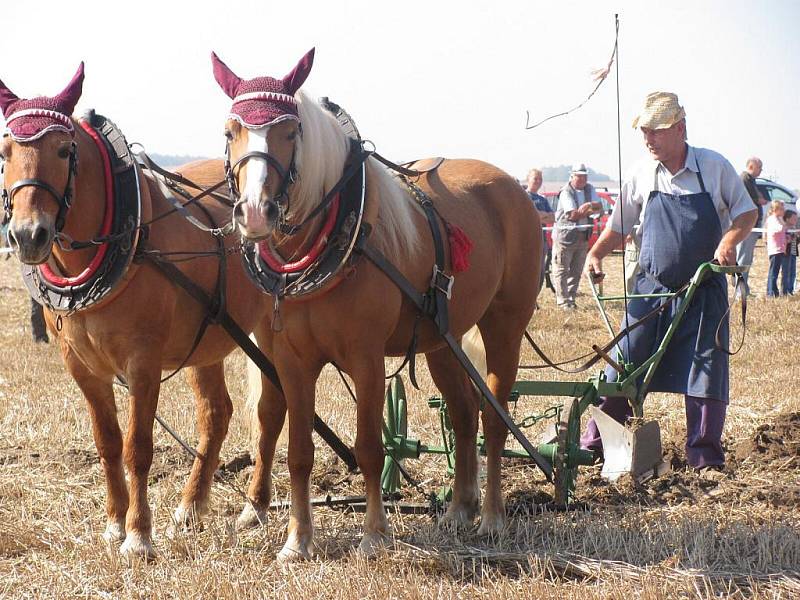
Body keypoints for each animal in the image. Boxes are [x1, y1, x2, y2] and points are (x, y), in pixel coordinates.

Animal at [0, 63, 274, 560]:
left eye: (64, 149)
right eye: (5, 151)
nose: (28, 235)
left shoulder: (143, 363)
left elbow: (138, 448)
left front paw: (139, 535)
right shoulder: (81, 366)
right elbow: (108, 443)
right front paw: (113, 524)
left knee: (271, 411)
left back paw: (255, 508)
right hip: (208, 341)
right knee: (217, 413)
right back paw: (190, 507)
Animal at [211, 49, 544, 560]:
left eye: (290, 132)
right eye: (231, 132)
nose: (254, 212)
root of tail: (513, 188)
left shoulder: (365, 359)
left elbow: (369, 446)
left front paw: (373, 534)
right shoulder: (291, 361)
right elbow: (298, 450)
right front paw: (298, 540)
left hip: (504, 324)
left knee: (493, 416)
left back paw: (491, 517)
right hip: (442, 339)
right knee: (463, 412)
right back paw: (458, 510)